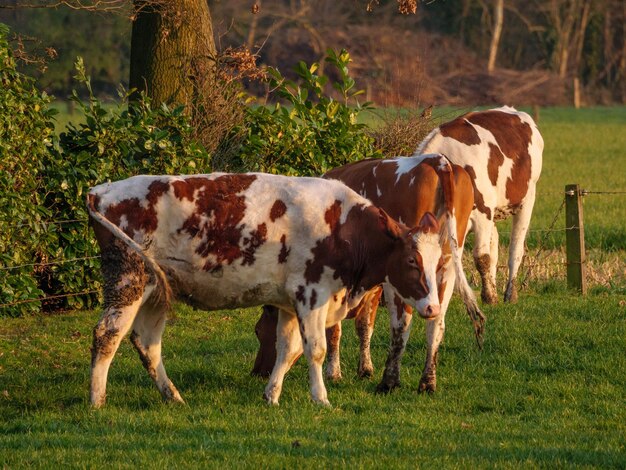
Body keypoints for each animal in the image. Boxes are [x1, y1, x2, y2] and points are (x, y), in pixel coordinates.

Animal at [85, 173, 442, 408]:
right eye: (411, 260)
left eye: (437, 261)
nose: (433, 308)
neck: (344, 227)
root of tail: (101, 191)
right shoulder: (312, 294)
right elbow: (316, 349)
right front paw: (321, 398)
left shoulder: (289, 303)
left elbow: (288, 350)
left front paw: (272, 395)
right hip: (129, 279)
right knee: (108, 334)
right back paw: (97, 400)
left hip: (158, 287)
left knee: (147, 342)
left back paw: (172, 395)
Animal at [250, 155, 482, 392]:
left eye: (258, 331)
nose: (257, 372)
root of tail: (437, 160)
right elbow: (365, 325)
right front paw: (365, 369)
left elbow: (334, 330)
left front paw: (334, 373)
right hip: (445, 266)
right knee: (436, 323)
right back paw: (427, 382)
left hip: (403, 279)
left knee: (401, 324)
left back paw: (389, 381)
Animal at [414, 105, 540, 304]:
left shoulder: (482, 214)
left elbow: (481, 257)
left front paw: (489, 297)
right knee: (494, 245)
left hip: (526, 199)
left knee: (516, 249)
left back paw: (510, 293)